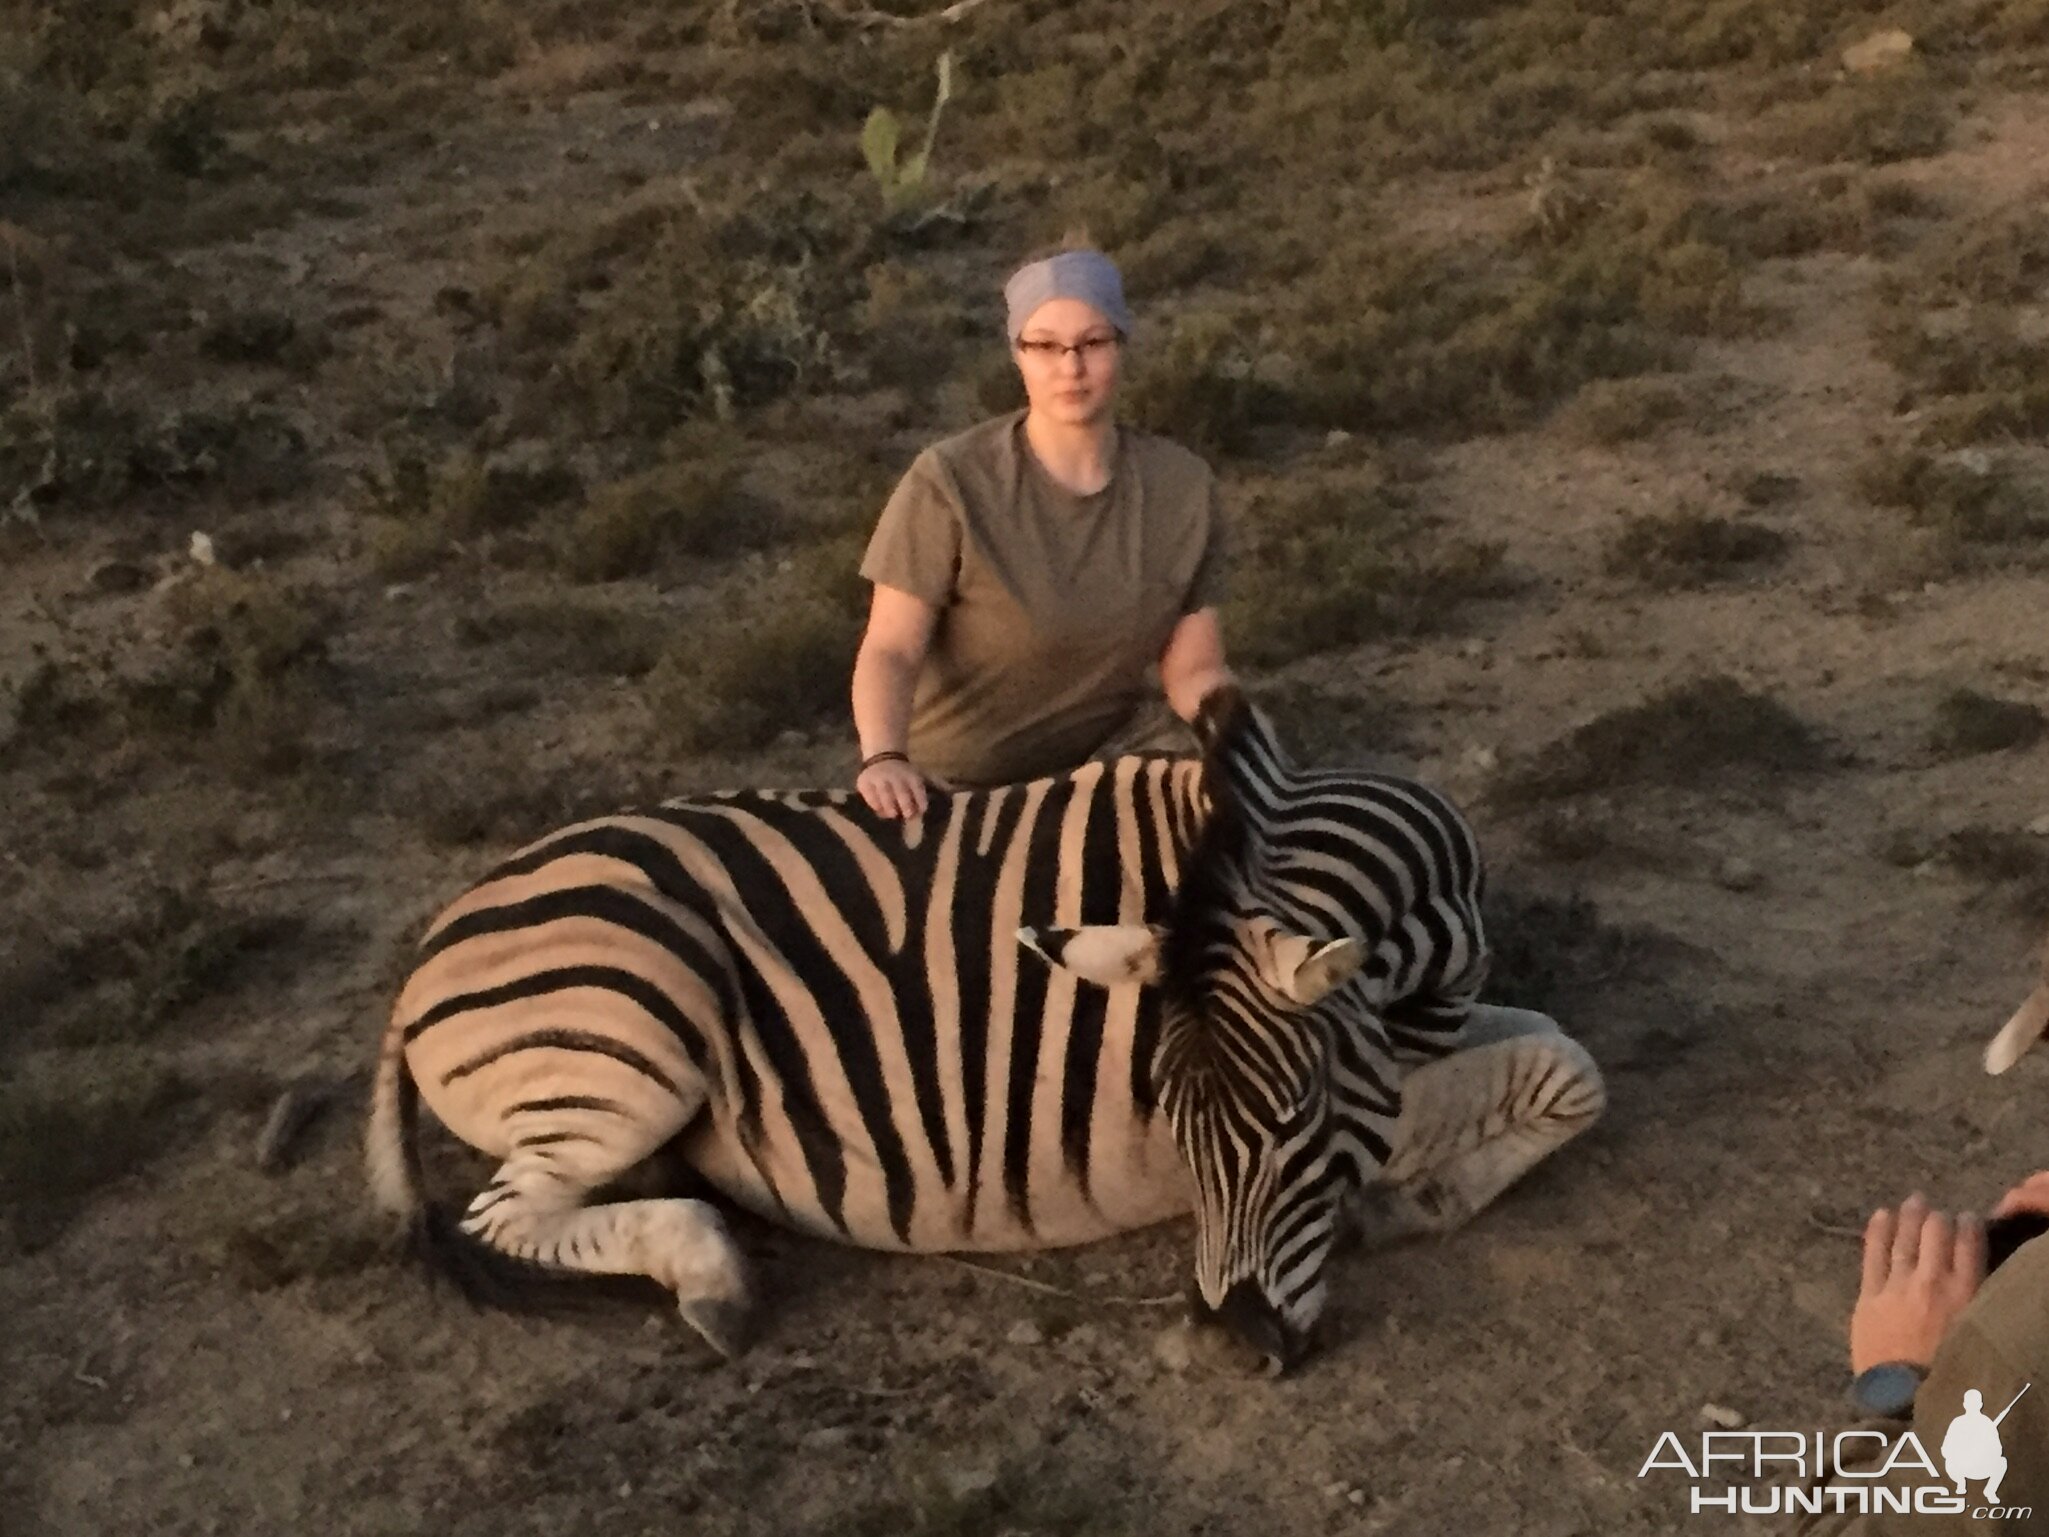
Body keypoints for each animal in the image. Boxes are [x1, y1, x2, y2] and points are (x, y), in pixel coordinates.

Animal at [368, 684, 1598, 1368]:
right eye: (1171, 1122)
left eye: (1299, 1120)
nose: (1233, 1347)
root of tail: (425, 954)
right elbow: (1563, 1069)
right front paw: (1408, 1200)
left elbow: (1548, 1039)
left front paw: (1418, 1195)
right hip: (632, 1026)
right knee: (502, 1215)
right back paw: (710, 1274)